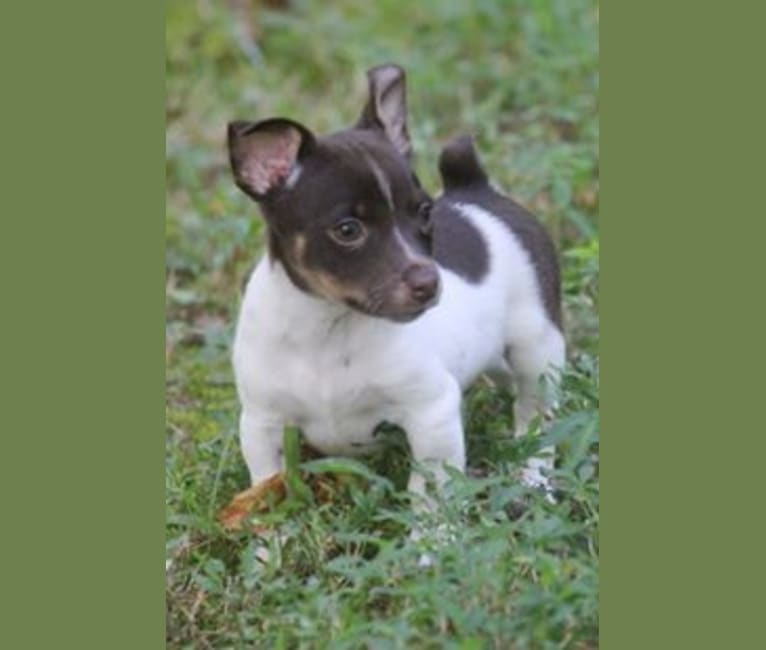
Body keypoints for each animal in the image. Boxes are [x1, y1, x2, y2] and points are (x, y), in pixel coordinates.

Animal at [228, 64, 564, 502]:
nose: (429, 282)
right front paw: (265, 523)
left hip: (537, 350)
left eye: (424, 211)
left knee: (535, 415)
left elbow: (429, 491)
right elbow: (268, 486)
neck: (328, 327)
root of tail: (477, 189)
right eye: (348, 230)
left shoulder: (431, 412)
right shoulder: (262, 423)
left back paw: (533, 478)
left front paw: (429, 524)